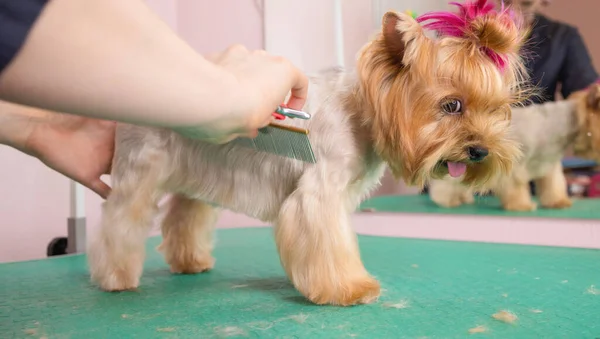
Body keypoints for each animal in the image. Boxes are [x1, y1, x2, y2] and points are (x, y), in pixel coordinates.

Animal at [88, 0, 528, 306]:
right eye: (452, 105)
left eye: (498, 109)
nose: (480, 151)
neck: (361, 112)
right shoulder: (319, 193)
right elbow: (328, 243)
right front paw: (350, 289)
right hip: (140, 167)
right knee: (120, 219)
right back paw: (115, 277)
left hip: (202, 167)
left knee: (185, 212)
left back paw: (190, 260)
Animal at [428, 83, 600, 211]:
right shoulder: (516, 167)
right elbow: (516, 187)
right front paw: (521, 205)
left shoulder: (549, 164)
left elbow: (553, 184)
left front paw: (557, 201)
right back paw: (447, 200)